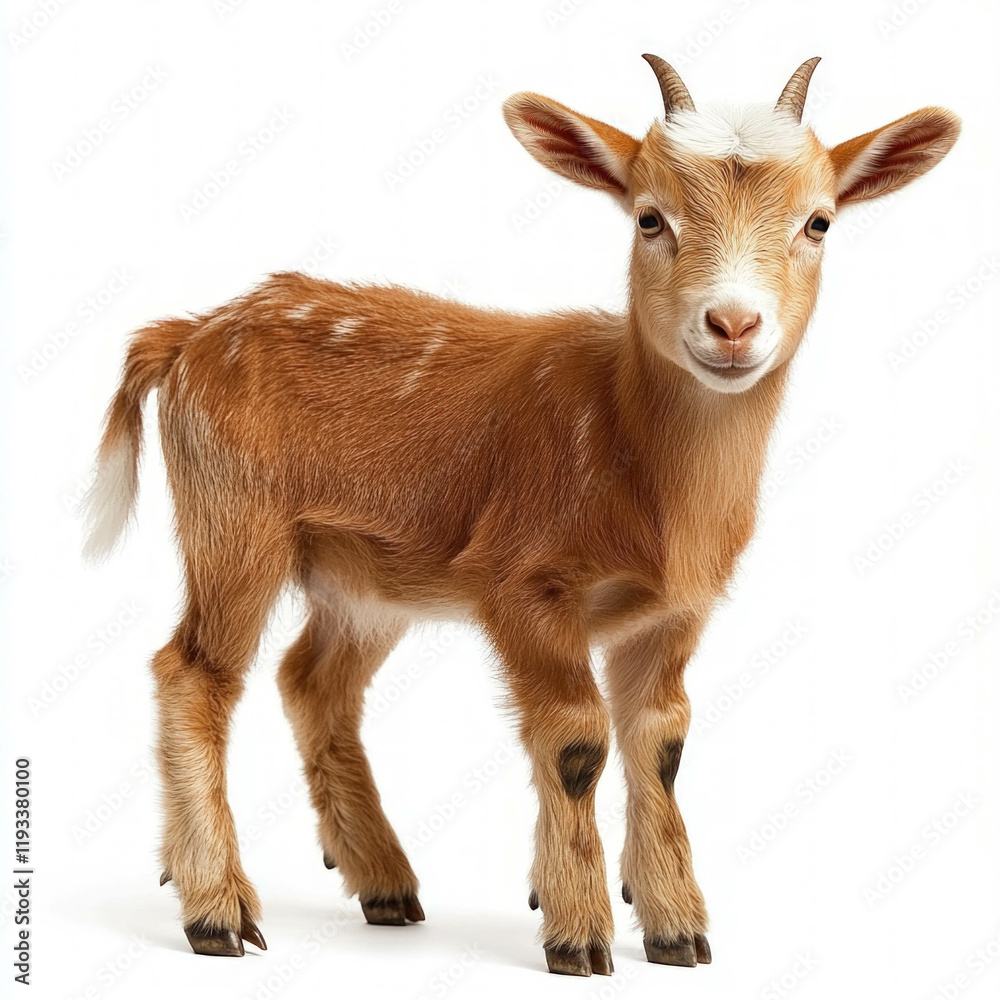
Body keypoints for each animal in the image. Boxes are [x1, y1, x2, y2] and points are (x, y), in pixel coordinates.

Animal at [83, 56, 959, 975]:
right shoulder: (520, 580)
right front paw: (578, 933)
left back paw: (384, 884)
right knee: (194, 671)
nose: (731, 323)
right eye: (649, 217)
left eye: (818, 222)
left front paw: (676, 928)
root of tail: (188, 335)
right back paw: (216, 909)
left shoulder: (677, 609)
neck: (636, 456)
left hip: (363, 571)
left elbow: (662, 742)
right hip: (232, 514)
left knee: (313, 679)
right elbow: (576, 741)